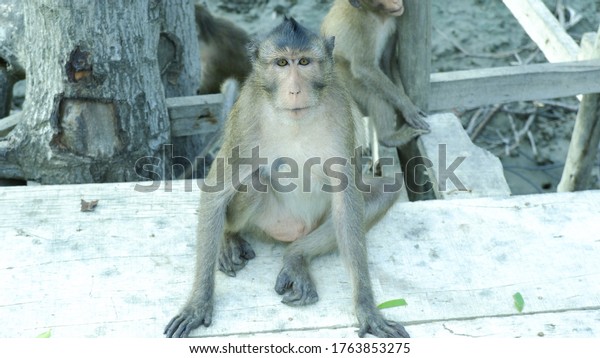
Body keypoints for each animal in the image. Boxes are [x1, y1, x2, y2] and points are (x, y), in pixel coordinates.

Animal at [162, 18, 410, 340]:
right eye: (281, 63)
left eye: (304, 62)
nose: (294, 90)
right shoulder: (246, 113)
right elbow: (215, 193)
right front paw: (199, 303)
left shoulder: (341, 109)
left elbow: (347, 203)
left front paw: (366, 307)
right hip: (264, 223)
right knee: (254, 183)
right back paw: (229, 236)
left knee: (386, 190)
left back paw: (296, 255)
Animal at [322, 0, 428, 147]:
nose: (395, 2)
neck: (378, 15)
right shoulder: (362, 26)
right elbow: (364, 68)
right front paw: (407, 107)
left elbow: (387, 60)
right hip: (340, 78)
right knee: (374, 95)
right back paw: (388, 137)